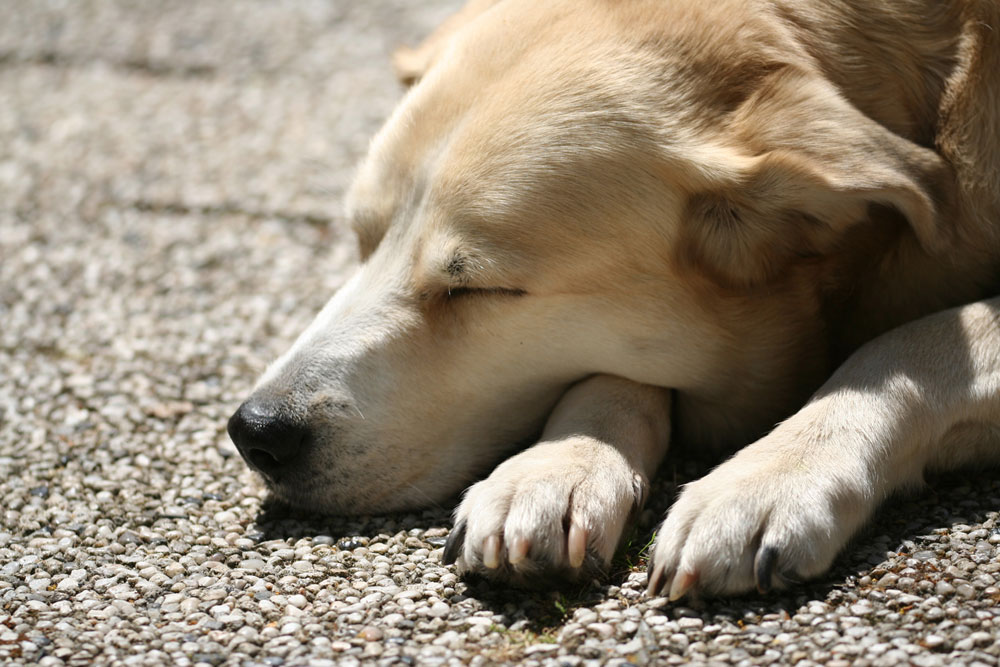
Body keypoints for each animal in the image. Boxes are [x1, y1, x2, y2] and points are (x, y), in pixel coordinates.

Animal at [227, 0, 1000, 596]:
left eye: (479, 288)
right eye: (361, 237)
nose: (257, 431)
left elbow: (916, 340)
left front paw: (765, 479)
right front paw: (557, 467)